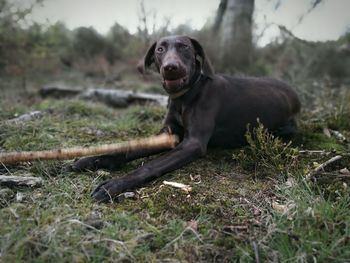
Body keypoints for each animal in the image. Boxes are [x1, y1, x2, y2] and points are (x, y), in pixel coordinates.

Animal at [69, 35, 300, 202]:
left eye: (185, 47)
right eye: (160, 49)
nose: (171, 68)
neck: (185, 96)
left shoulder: (192, 143)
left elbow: (150, 165)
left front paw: (114, 185)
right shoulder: (167, 134)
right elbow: (128, 148)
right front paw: (89, 160)